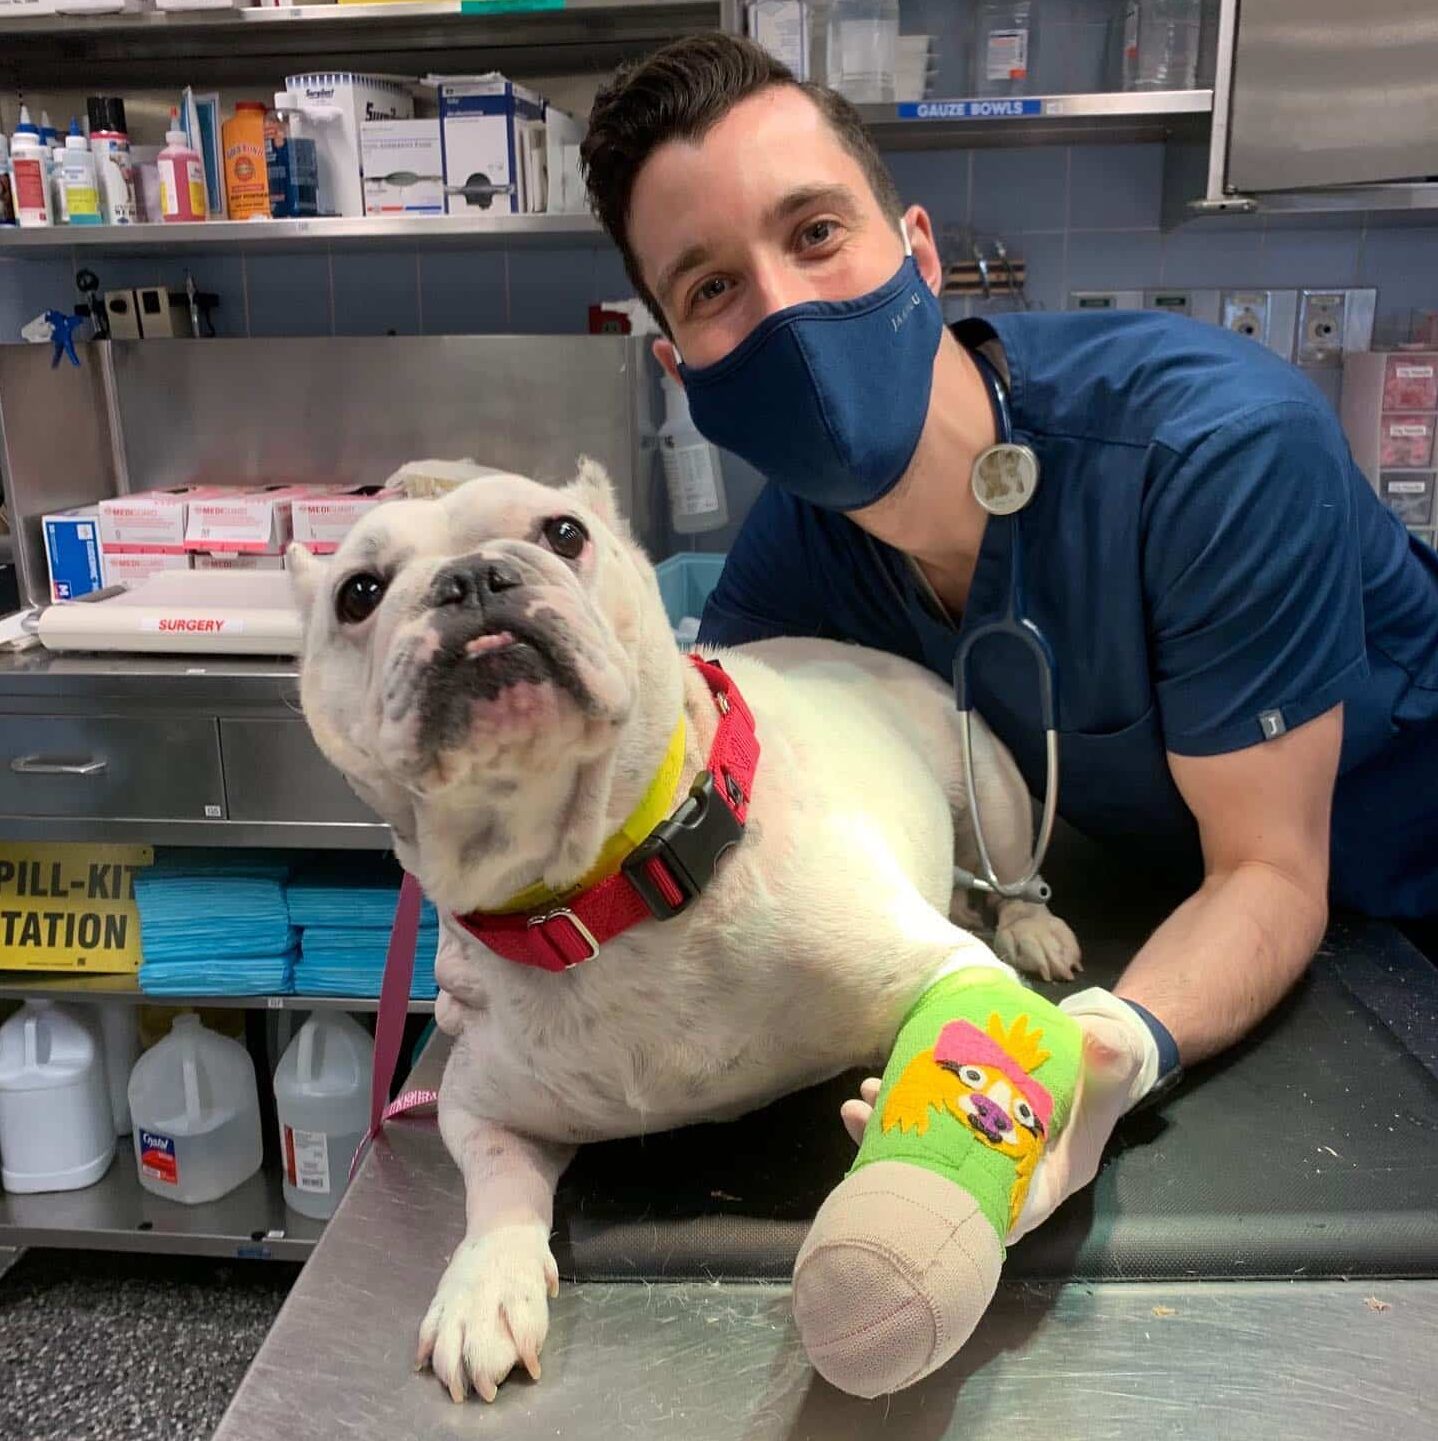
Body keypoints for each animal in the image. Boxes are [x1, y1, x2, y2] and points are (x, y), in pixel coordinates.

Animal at [292, 464, 1083, 1406]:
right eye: (359, 593)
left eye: (564, 532)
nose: (470, 577)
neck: (608, 889)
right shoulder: (482, 1103)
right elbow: (496, 1187)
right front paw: (483, 1285)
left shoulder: (944, 966)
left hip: (988, 784)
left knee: (1011, 863)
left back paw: (1033, 923)